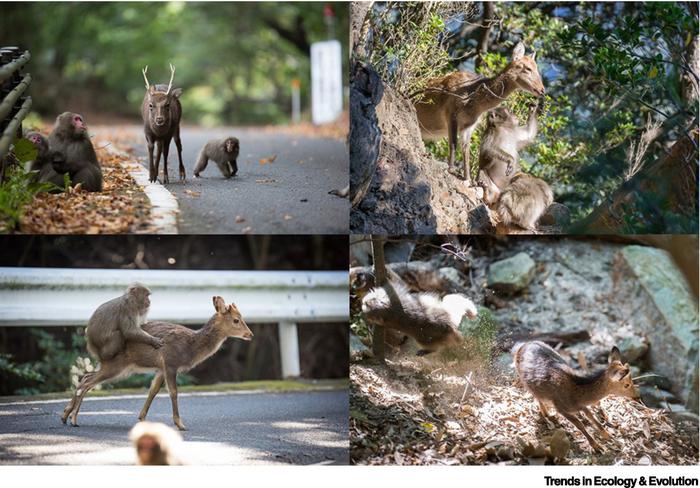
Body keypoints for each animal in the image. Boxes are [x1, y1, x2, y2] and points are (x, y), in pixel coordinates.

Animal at [60, 296, 252, 428]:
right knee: (87, 381)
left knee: (85, 377)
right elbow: (173, 392)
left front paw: (142, 418)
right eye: (236, 320)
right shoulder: (170, 362)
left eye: (242, 317)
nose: (250, 334)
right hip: (116, 365)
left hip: (115, 367)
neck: (191, 347)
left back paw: (65, 416)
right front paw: (180, 424)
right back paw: (74, 419)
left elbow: (152, 390)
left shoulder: (160, 368)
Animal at [412, 41, 544, 183]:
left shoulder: (469, 125)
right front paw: (451, 169)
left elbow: (466, 149)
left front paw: (467, 178)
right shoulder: (450, 111)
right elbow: (453, 143)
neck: (473, 104)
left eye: (537, 68)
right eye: (528, 68)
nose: (542, 90)